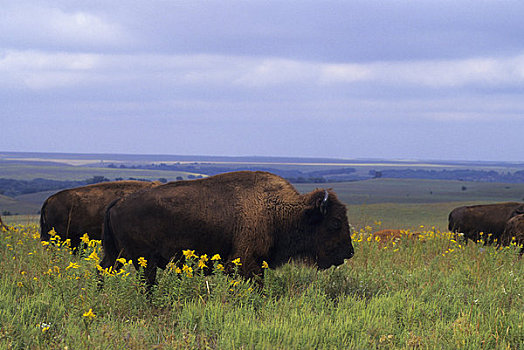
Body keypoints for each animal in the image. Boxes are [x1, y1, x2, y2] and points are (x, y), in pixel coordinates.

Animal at [101, 171, 356, 286]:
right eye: (335, 222)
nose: (349, 251)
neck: (279, 209)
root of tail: (118, 202)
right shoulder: (246, 261)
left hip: (115, 255)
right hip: (144, 260)